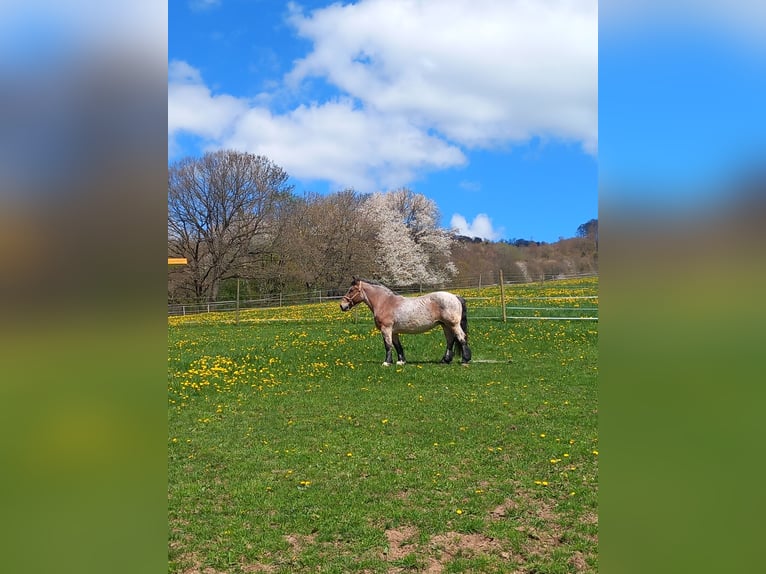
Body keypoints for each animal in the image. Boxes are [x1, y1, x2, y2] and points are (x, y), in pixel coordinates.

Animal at [340, 280, 472, 368]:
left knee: (461, 338)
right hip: (445, 325)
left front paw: (387, 362)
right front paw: (401, 361)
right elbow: (397, 345)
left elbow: (388, 345)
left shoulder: (386, 329)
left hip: (453, 325)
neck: (385, 302)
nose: (342, 306)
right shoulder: (394, 332)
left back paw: (465, 360)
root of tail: (455, 296)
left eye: (351, 290)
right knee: (450, 341)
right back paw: (445, 360)